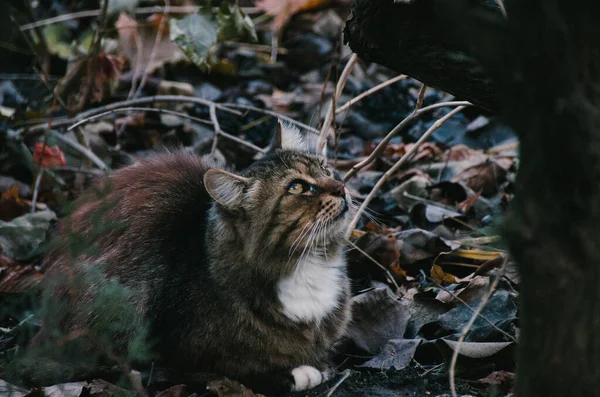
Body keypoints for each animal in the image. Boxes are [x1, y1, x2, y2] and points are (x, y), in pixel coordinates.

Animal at [41, 120, 352, 392]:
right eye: (297, 187)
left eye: (325, 167)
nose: (341, 188)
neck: (306, 266)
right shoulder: (186, 354)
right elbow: (238, 369)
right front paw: (302, 373)